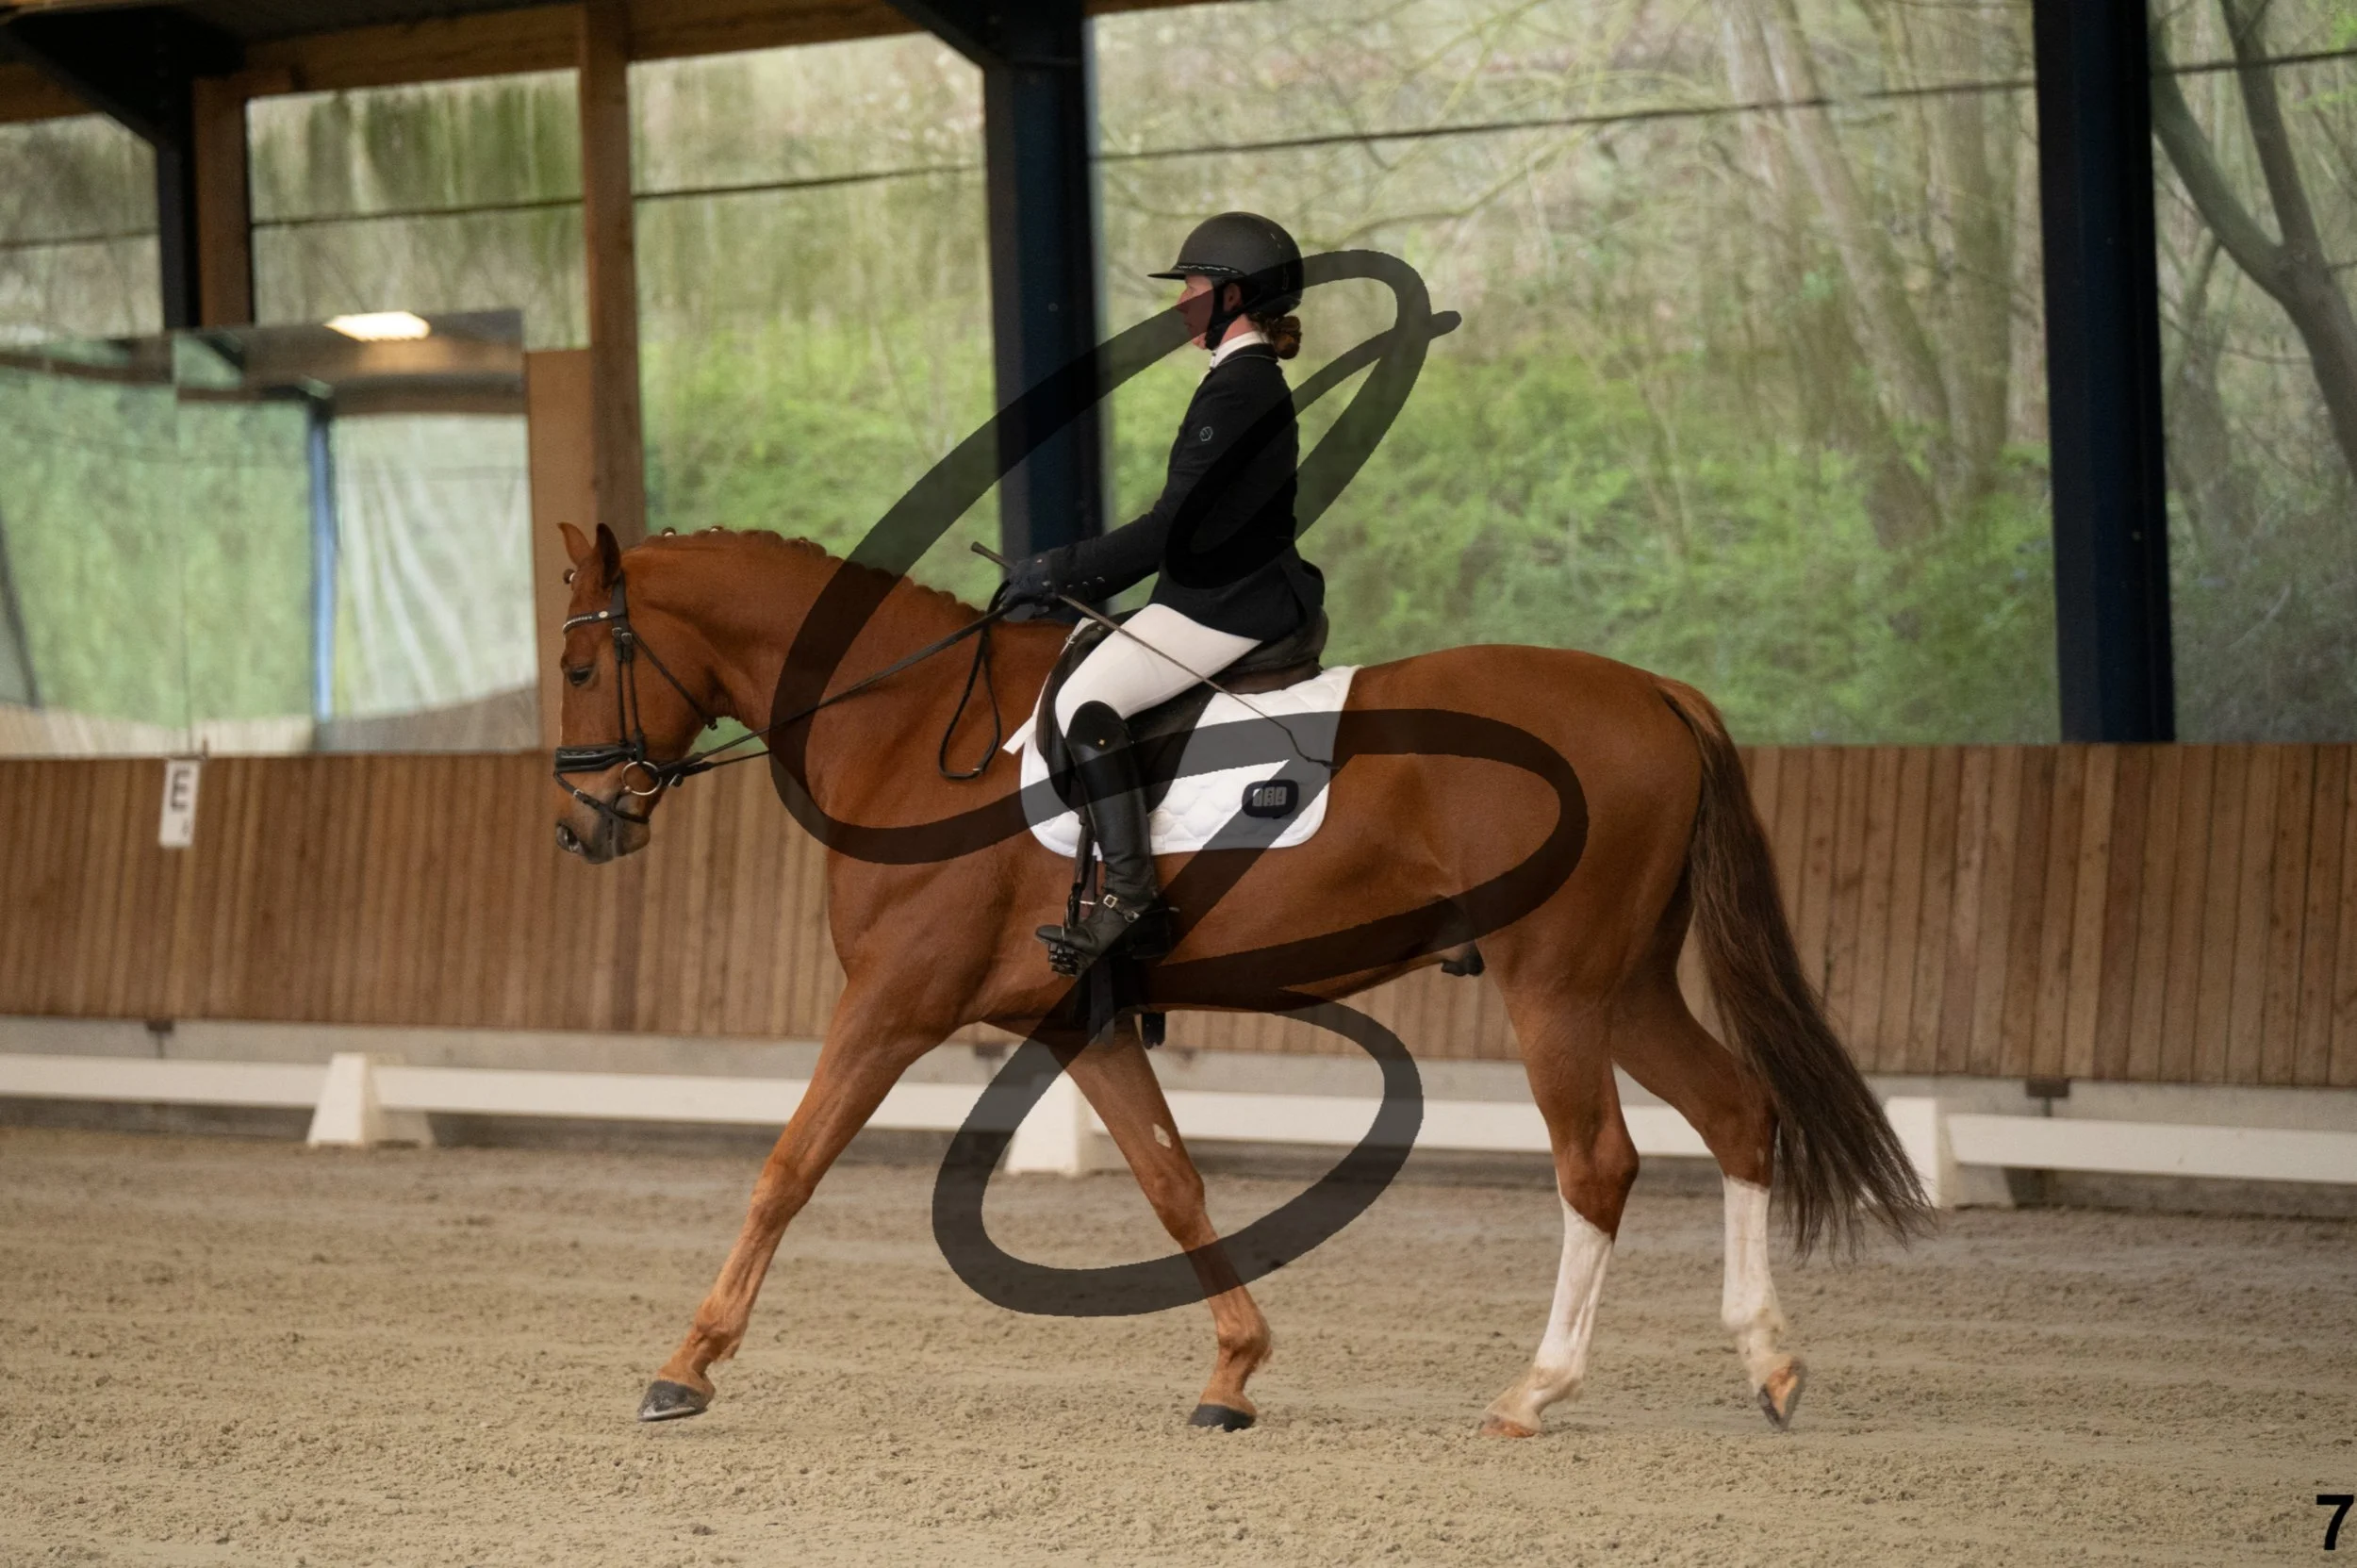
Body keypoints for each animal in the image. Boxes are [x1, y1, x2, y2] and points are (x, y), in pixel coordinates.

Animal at [549, 520, 1926, 1436]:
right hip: (1626, 983)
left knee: (1599, 1163)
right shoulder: (1077, 1019)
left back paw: (1539, 1388)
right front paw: (1234, 1372)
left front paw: (687, 1361)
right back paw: (1769, 1362)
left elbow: (787, 1166)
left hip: (1561, 988)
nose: (580, 824)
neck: (908, 723)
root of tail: (1650, 688)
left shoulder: (893, 1003)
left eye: (577, 668)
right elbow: (1172, 1181)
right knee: (1738, 1111)